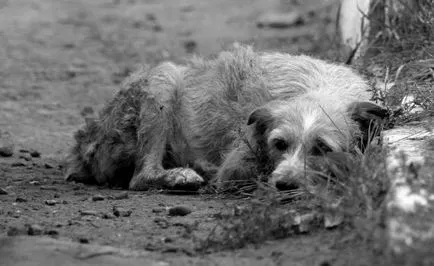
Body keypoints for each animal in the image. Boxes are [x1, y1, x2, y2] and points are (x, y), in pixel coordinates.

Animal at [63, 45, 386, 191]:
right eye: (279, 144)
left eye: (322, 148)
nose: (284, 184)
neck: (319, 87)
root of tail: (82, 143)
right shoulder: (236, 163)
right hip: (162, 79)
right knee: (140, 177)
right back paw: (181, 174)